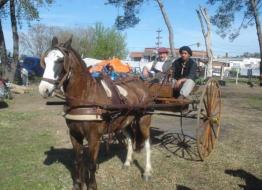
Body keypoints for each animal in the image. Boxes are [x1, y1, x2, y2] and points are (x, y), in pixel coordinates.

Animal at [38, 36, 152, 189]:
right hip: (125, 121)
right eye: (45, 60)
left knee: (147, 143)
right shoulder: (74, 135)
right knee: (129, 138)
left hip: (144, 121)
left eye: (60, 60)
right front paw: (78, 184)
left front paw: (91, 185)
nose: (43, 89)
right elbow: (78, 161)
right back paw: (127, 163)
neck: (85, 97)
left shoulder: (94, 137)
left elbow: (91, 164)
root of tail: (141, 84)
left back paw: (147, 171)